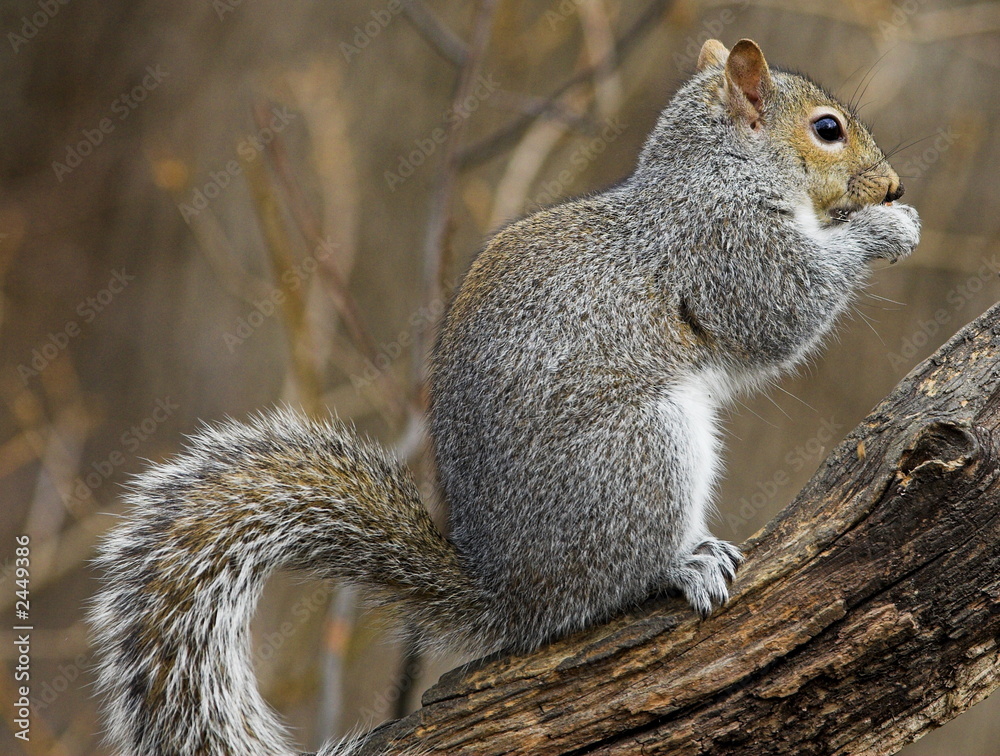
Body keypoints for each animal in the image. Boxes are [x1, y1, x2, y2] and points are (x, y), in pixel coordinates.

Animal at [90, 39, 919, 756]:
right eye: (828, 129)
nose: (894, 185)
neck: (717, 171)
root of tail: (512, 597)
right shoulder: (725, 247)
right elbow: (783, 312)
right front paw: (884, 230)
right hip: (642, 452)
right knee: (619, 577)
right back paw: (684, 563)